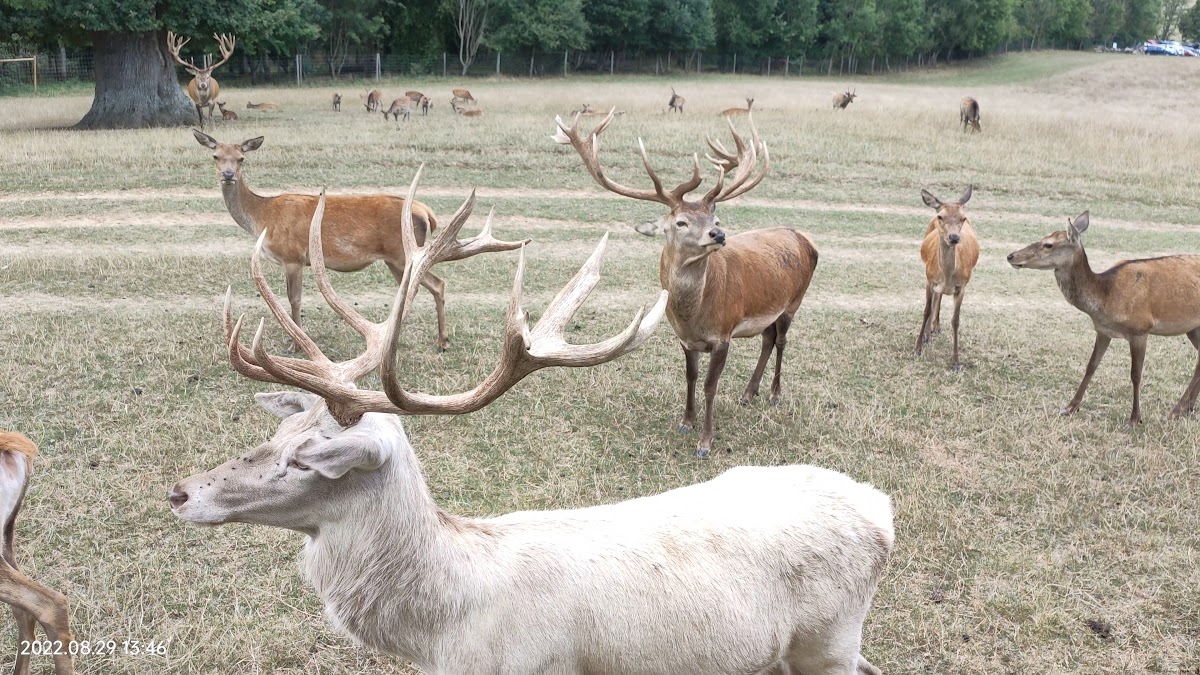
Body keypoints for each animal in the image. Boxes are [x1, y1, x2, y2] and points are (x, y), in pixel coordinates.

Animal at [168, 176, 892, 675]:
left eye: (308, 458)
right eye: (276, 437)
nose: (180, 491)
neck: (445, 638)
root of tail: (880, 508)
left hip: (829, 636)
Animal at [190, 130, 524, 352]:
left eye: (242, 157)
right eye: (216, 155)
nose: (228, 175)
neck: (263, 217)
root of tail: (425, 212)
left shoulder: (292, 257)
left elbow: (293, 299)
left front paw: (294, 344)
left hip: (403, 254)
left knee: (437, 284)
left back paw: (439, 341)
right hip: (398, 259)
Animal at [554, 110, 818, 458]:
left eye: (715, 220)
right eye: (681, 222)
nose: (718, 235)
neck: (694, 315)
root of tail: (805, 239)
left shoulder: (723, 334)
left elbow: (709, 386)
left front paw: (705, 442)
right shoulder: (684, 338)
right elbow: (691, 378)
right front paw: (686, 422)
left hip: (794, 300)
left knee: (783, 340)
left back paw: (775, 394)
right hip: (768, 312)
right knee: (767, 338)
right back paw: (749, 393)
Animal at [914, 186, 979, 372]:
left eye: (963, 218)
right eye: (941, 217)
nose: (954, 237)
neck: (948, 275)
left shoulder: (962, 286)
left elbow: (955, 320)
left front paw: (956, 362)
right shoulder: (929, 280)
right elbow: (926, 311)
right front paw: (917, 348)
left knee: (940, 297)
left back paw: (935, 328)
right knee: (937, 299)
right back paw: (928, 333)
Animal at [1007, 212, 1200, 425]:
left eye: (1048, 244)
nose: (1011, 256)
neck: (1106, 296)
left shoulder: (1140, 329)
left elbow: (1136, 375)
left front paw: (1135, 419)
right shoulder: (1102, 330)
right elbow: (1091, 366)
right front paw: (1070, 407)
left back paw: (1177, 409)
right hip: (1193, 328)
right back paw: (1183, 409)